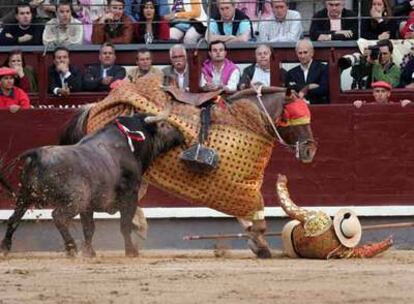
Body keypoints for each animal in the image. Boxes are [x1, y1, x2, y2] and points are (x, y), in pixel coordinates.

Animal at [58, 75, 316, 258]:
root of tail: (93, 106)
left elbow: (246, 216)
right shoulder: (240, 184)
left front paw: (257, 244)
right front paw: (261, 246)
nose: (310, 151)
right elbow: (256, 213)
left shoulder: (235, 186)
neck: (247, 119)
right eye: (296, 118)